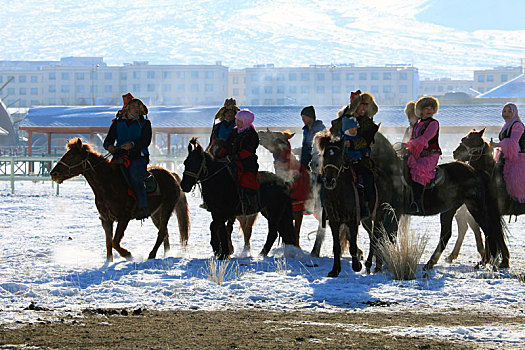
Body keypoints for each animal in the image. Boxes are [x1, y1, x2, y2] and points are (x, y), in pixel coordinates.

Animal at [49, 138, 190, 262]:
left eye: (72, 156)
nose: (53, 174)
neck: (109, 184)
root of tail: (171, 175)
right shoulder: (106, 220)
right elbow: (108, 242)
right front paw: (109, 261)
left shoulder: (124, 218)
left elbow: (115, 242)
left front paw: (128, 254)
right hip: (155, 214)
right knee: (164, 232)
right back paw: (166, 254)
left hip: (167, 208)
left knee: (161, 233)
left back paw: (151, 255)